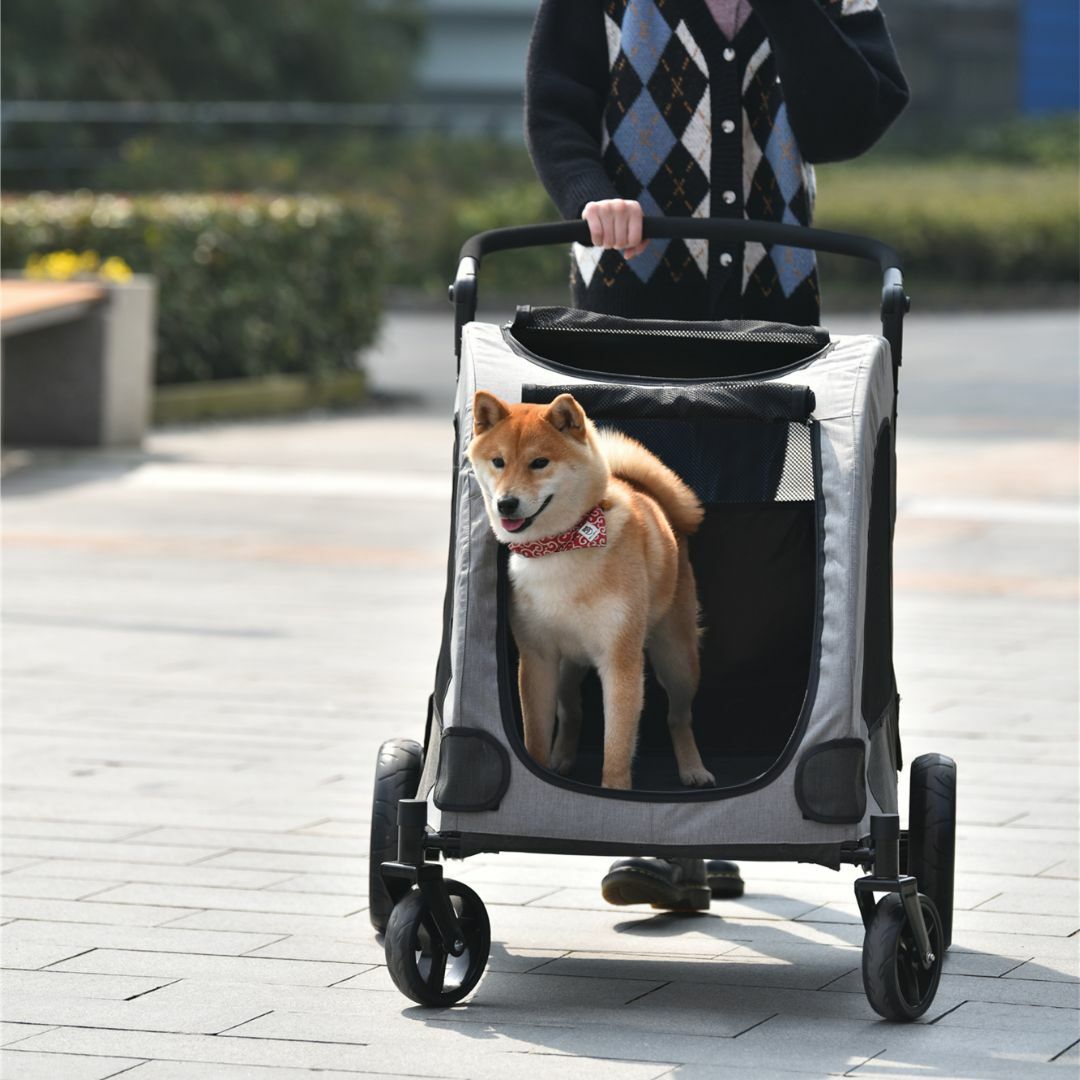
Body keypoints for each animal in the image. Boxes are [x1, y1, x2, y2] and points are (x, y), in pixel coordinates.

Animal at [466, 393, 712, 790]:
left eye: (539, 463)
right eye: (498, 462)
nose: (506, 503)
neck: (561, 547)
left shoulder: (620, 661)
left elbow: (617, 745)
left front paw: (616, 792)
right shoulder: (537, 657)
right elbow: (536, 735)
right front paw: (538, 769)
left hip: (678, 660)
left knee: (679, 717)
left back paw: (693, 768)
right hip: (570, 665)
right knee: (572, 712)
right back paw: (562, 758)